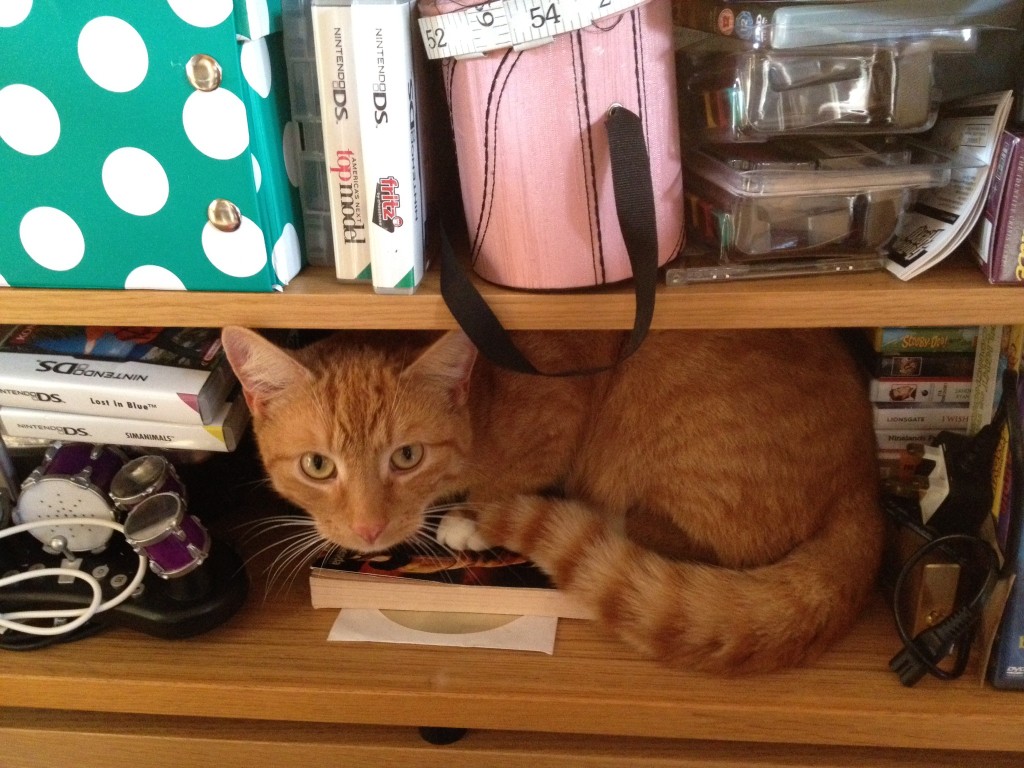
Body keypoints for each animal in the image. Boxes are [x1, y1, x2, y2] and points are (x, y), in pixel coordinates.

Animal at [220, 327, 884, 675]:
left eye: (406, 457)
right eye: (317, 466)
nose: (368, 529)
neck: (481, 402)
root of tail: (865, 473)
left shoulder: (561, 409)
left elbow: (512, 480)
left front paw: (470, 518)